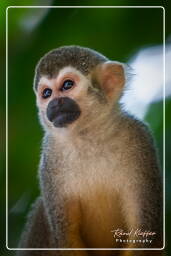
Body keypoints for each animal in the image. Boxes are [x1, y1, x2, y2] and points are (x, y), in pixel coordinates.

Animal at [17, 46, 163, 256]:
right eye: (47, 93)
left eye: (67, 85)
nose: (55, 104)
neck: (89, 137)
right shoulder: (50, 158)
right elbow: (66, 235)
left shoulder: (140, 138)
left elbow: (143, 228)